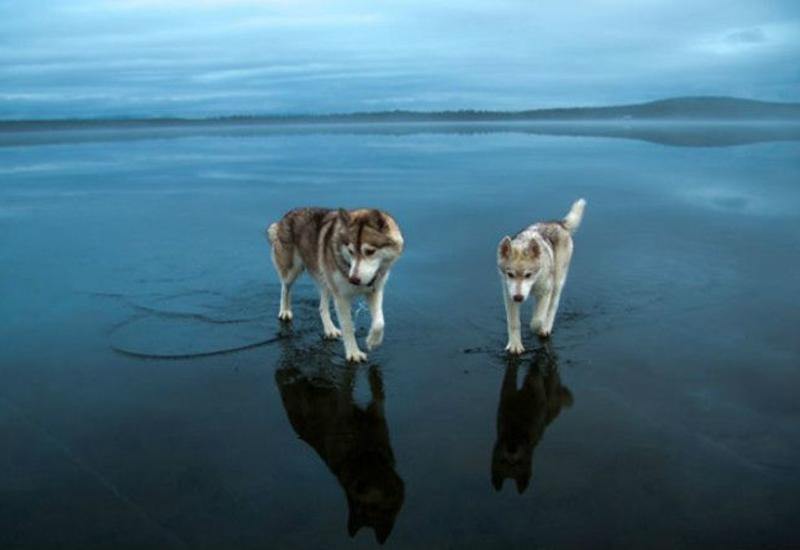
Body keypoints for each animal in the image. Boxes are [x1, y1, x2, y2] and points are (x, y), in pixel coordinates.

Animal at [268, 209, 406, 364]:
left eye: (370, 251)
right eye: (351, 251)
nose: (353, 280)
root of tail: (287, 215)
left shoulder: (375, 290)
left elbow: (379, 322)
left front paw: (372, 341)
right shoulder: (341, 298)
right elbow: (347, 326)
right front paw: (353, 353)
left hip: (326, 280)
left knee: (322, 307)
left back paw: (330, 329)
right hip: (292, 271)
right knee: (285, 288)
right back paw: (285, 311)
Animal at [496, 198, 584, 354]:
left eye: (528, 274)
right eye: (510, 274)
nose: (519, 297)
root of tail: (558, 223)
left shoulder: (545, 292)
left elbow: (537, 320)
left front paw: (537, 327)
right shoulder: (508, 294)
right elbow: (514, 322)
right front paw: (515, 345)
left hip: (557, 282)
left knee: (553, 306)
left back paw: (546, 328)